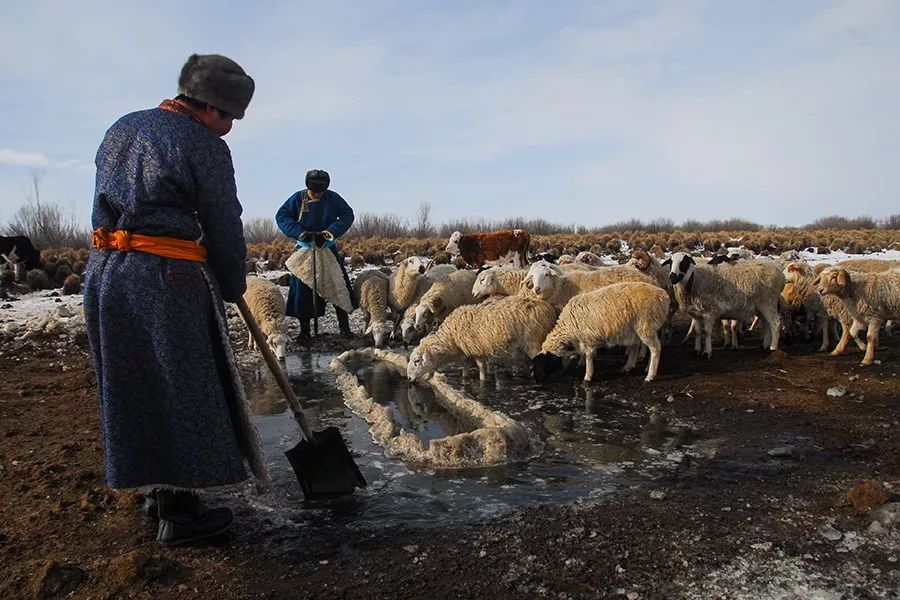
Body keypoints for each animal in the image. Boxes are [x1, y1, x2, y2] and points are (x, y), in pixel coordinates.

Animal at [406, 292, 560, 382]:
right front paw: (465, 378)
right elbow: (465, 368)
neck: (452, 338)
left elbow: (480, 367)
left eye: (417, 361)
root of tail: (548, 308)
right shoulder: (467, 352)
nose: (408, 378)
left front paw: (482, 380)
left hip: (533, 341)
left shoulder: (476, 350)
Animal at [532, 282, 672, 384]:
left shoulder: (588, 340)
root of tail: (663, 295)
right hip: (636, 328)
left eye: (541, 365)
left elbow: (589, 356)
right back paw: (630, 367)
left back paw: (650, 375)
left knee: (655, 348)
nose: (537, 381)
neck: (569, 327)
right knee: (638, 347)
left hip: (646, 325)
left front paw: (587, 377)